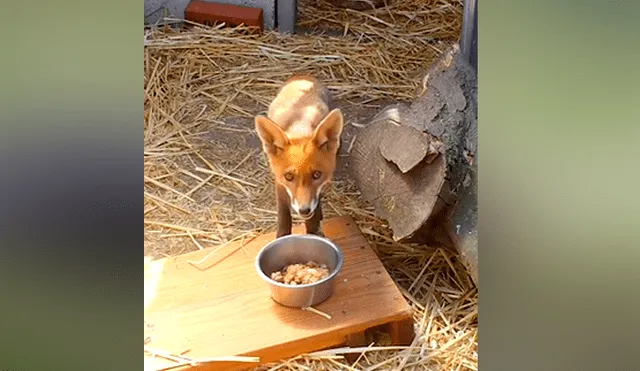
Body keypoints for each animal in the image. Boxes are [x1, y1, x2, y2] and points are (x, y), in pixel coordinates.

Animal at [255, 74, 344, 238]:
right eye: (289, 176)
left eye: (316, 175)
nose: (304, 210)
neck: (299, 124)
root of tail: (302, 76)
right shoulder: (279, 181)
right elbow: (283, 213)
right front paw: (282, 235)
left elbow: (313, 215)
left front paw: (313, 230)